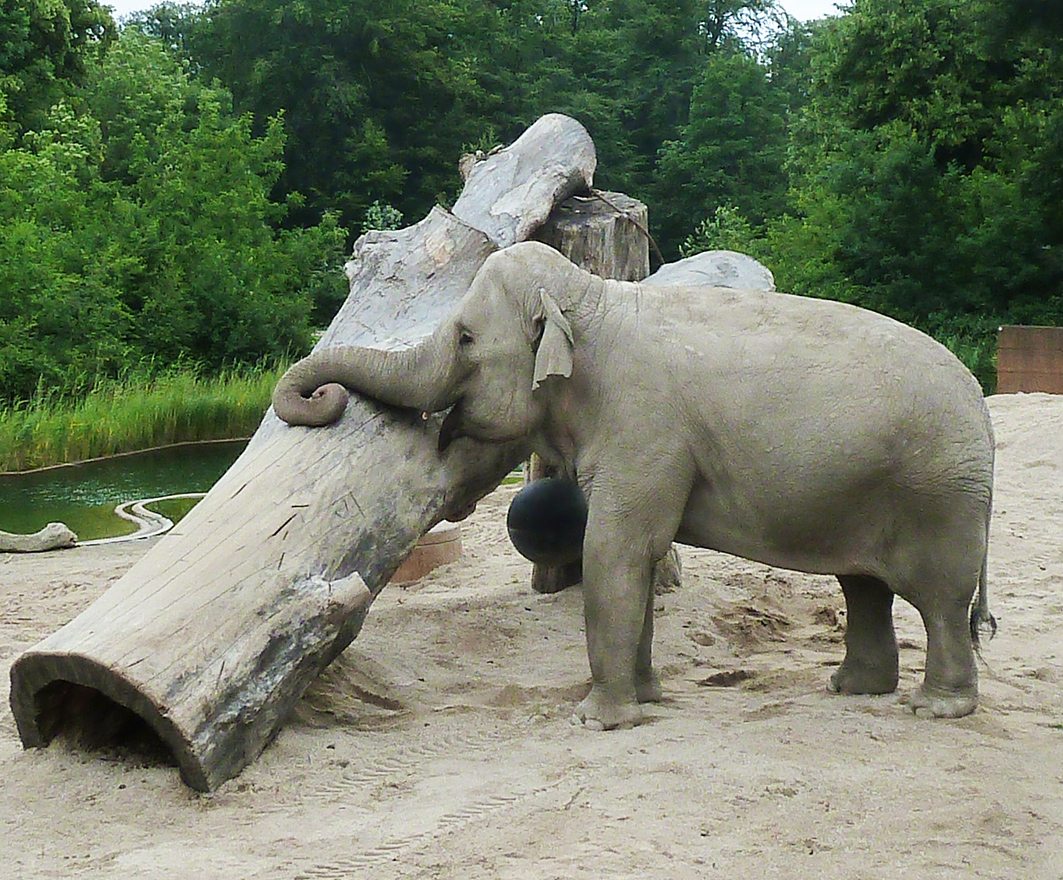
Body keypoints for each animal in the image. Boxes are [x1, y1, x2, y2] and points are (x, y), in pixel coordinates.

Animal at [273, 241, 996, 730]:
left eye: (466, 337)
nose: (323, 400)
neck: (592, 299)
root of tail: (982, 406)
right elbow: (637, 557)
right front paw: (648, 699)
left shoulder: (644, 429)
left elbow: (613, 550)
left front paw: (598, 720)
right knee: (865, 586)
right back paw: (852, 689)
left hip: (939, 497)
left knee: (937, 600)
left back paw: (937, 707)